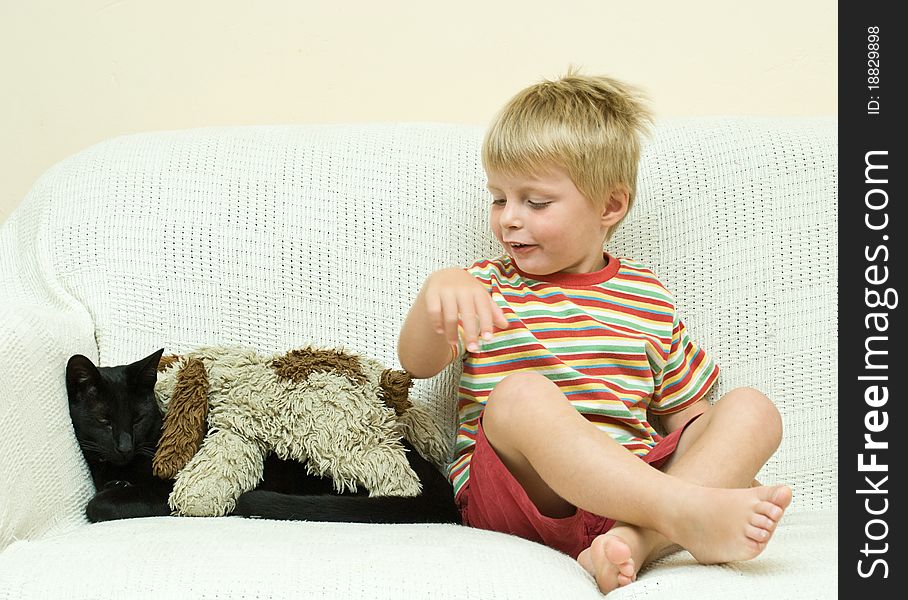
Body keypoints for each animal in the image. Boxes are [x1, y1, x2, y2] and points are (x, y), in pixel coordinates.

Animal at [65, 350, 462, 524]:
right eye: (103, 420)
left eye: (137, 418)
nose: (124, 446)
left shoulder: (164, 490)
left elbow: (99, 504)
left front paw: (108, 496)